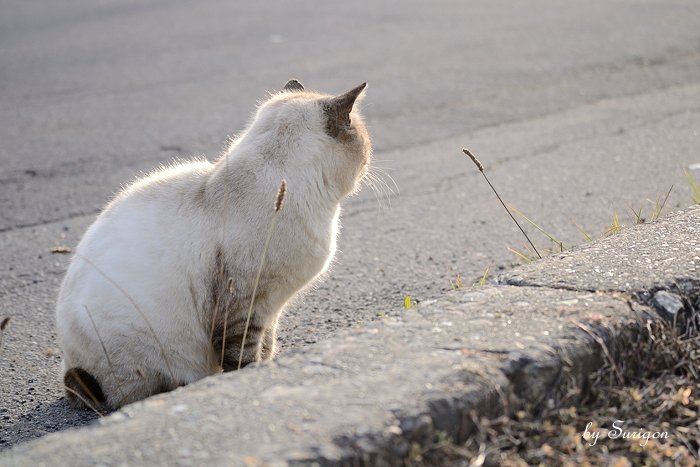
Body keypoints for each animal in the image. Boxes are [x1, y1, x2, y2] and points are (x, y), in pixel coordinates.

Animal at [54, 80, 372, 410]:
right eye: (365, 142)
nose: (369, 160)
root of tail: (69, 364)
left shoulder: (270, 309)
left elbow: (267, 346)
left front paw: (269, 367)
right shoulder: (245, 306)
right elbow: (242, 358)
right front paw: (252, 377)